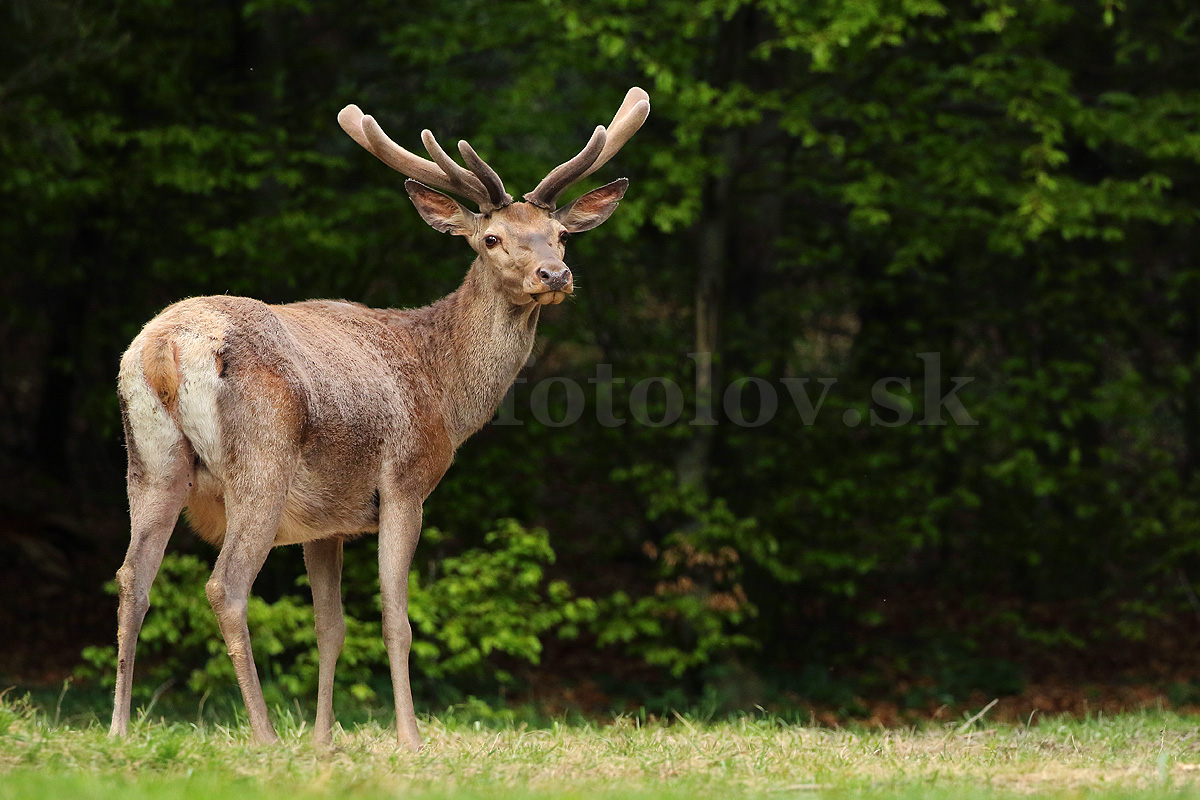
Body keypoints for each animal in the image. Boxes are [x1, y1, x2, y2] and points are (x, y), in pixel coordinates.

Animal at [108, 87, 652, 753]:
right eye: (492, 239)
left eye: (561, 236)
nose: (554, 275)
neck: (443, 392)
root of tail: (168, 348)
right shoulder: (404, 483)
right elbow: (397, 620)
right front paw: (410, 740)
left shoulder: (325, 522)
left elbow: (331, 627)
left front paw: (323, 742)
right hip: (261, 460)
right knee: (225, 587)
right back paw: (264, 736)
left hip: (150, 463)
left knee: (132, 580)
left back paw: (119, 730)